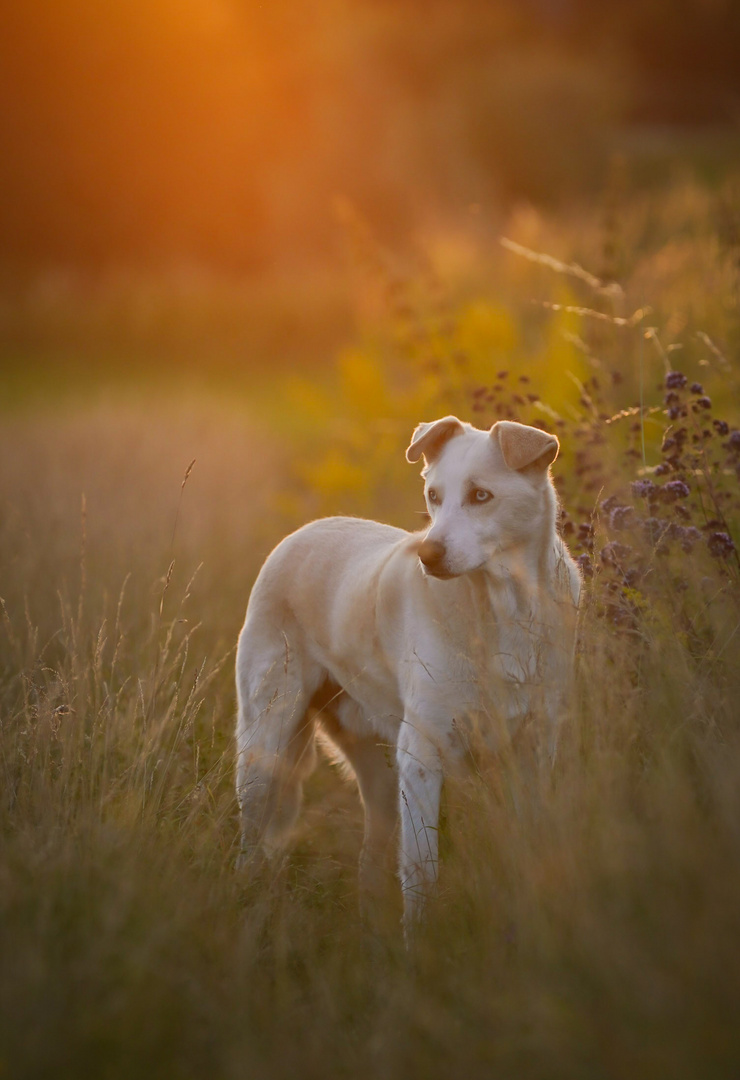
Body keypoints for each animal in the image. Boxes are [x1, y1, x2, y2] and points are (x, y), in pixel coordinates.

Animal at [233, 416, 579, 933]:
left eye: (481, 496)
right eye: (433, 496)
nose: (428, 556)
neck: (504, 608)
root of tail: (303, 532)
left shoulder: (535, 750)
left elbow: (527, 846)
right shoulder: (422, 755)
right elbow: (422, 872)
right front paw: (419, 943)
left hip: (378, 773)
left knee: (369, 859)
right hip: (266, 746)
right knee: (252, 843)